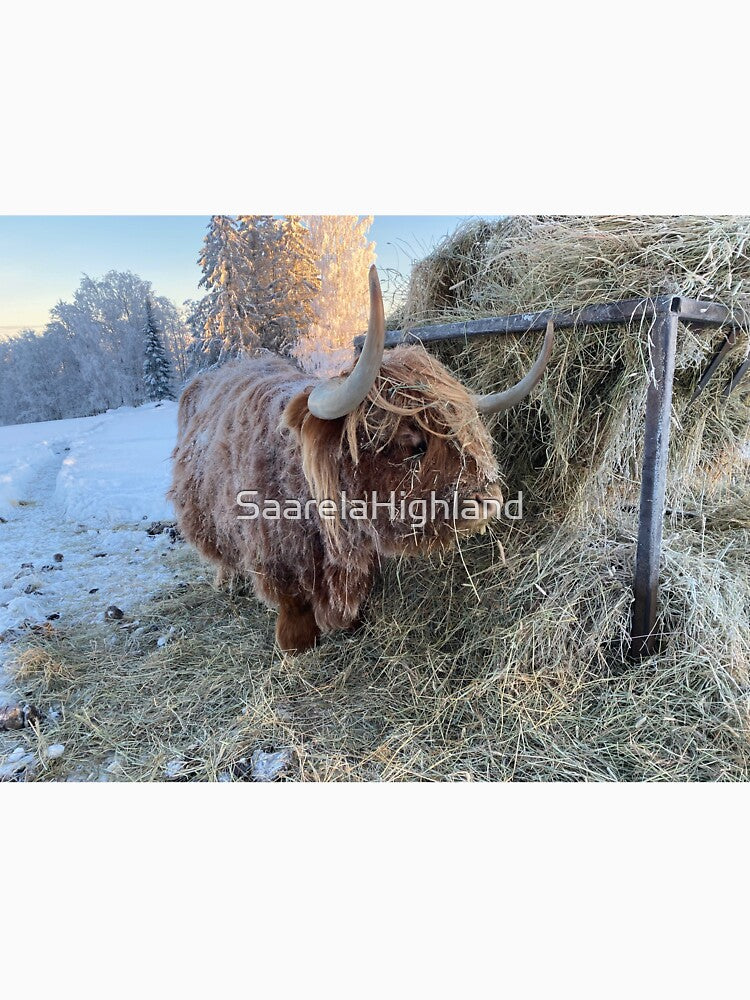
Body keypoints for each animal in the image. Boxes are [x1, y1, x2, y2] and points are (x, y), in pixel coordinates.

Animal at [169, 266, 553, 653]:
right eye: (412, 441)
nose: (490, 500)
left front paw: (352, 623)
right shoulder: (276, 561)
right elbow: (293, 610)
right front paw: (296, 646)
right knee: (221, 555)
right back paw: (227, 582)